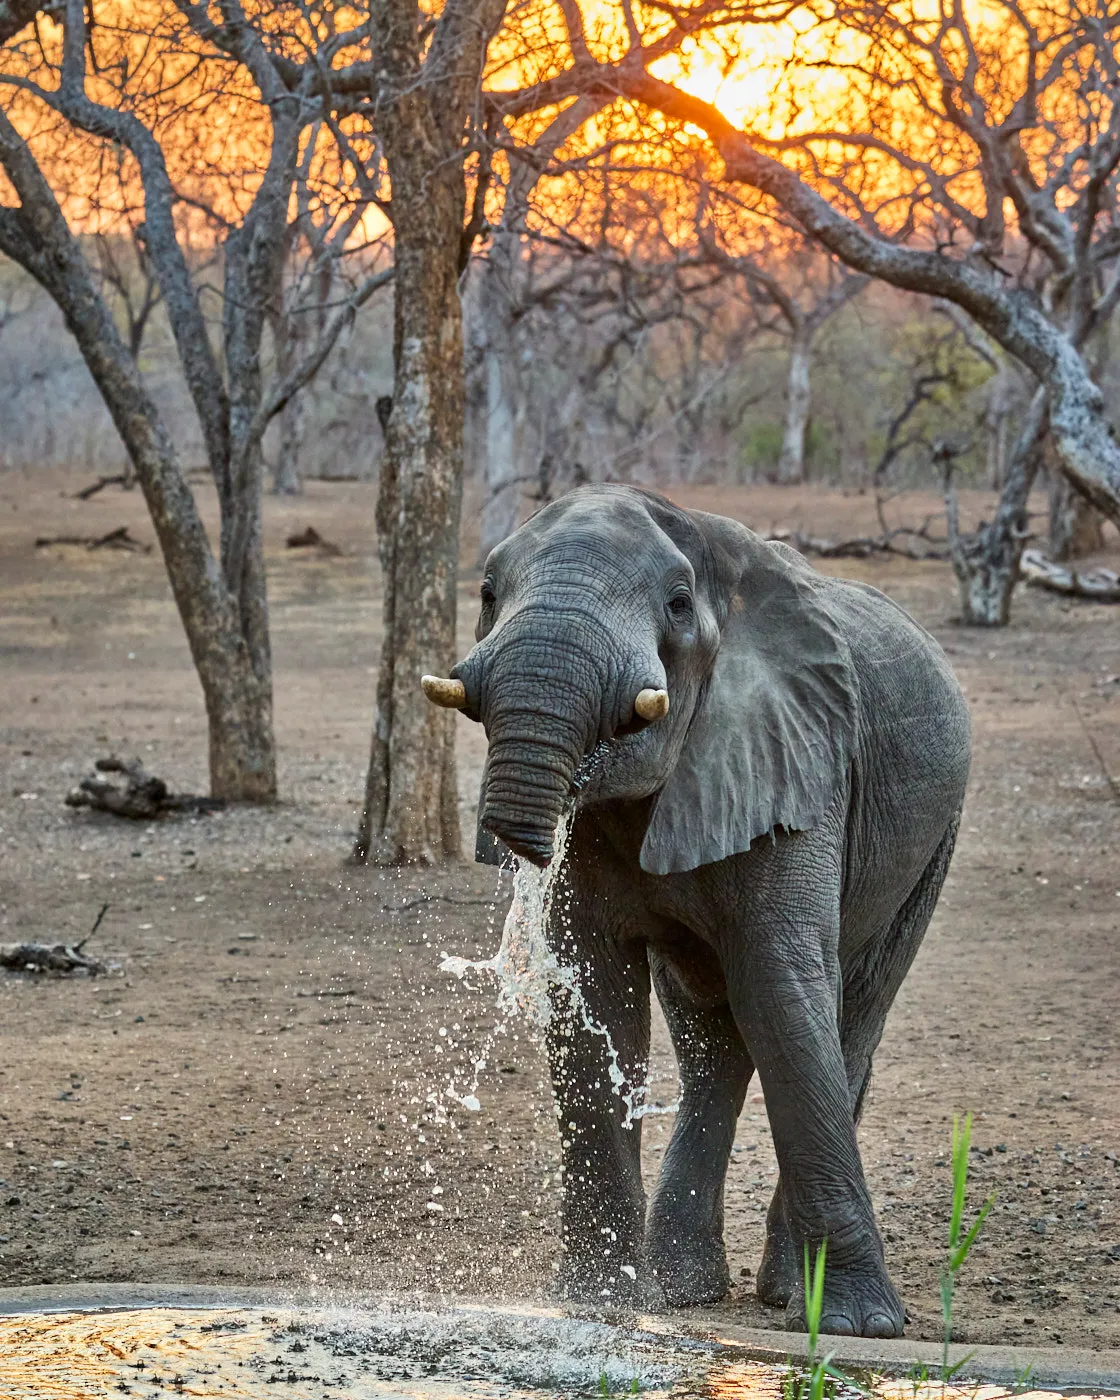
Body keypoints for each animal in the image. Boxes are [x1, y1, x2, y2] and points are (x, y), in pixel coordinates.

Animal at [421, 484, 970, 1338]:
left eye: (678, 605)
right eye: (485, 592)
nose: (511, 841)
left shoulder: (799, 763)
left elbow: (782, 989)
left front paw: (858, 1329)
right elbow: (596, 995)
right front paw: (597, 1304)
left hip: (933, 837)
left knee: (847, 1018)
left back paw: (788, 1296)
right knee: (713, 1041)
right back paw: (686, 1292)